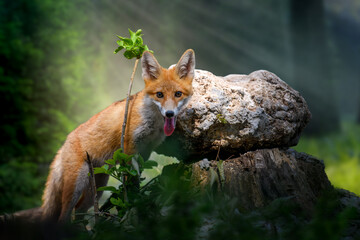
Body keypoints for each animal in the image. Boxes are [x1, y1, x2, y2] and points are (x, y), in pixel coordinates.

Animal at [41, 49, 197, 222]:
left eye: (178, 94)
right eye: (159, 95)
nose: (169, 113)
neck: (152, 123)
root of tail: (64, 142)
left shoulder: (146, 149)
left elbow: (138, 175)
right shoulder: (130, 147)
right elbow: (131, 180)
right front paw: (132, 203)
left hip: (97, 186)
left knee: (80, 210)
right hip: (76, 185)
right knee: (64, 216)